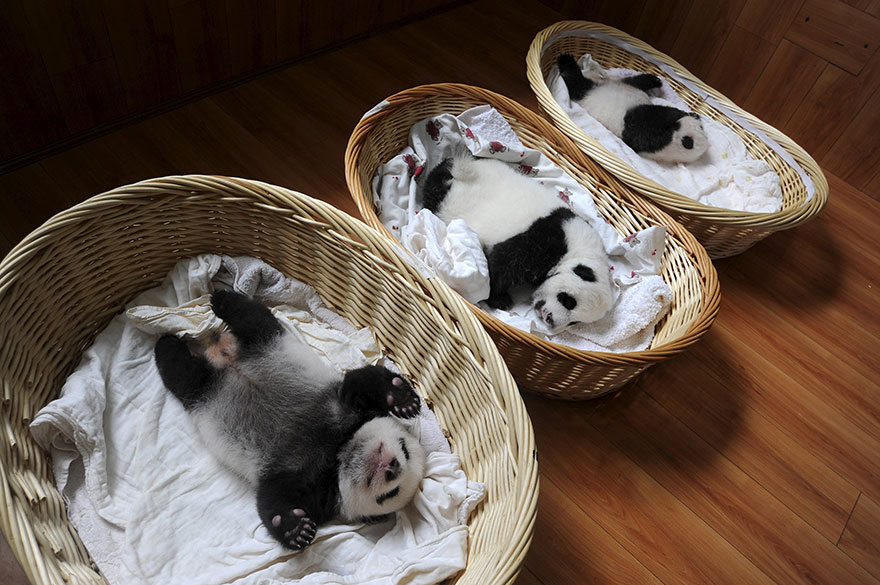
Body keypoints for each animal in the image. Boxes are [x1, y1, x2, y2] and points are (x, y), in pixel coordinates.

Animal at [153, 290, 426, 551]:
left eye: (390, 494)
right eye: (404, 447)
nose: (393, 466)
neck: (339, 450)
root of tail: (222, 356)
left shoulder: (313, 485)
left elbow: (273, 496)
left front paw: (295, 528)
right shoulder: (344, 408)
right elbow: (362, 382)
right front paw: (402, 397)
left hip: (205, 386)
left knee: (185, 374)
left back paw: (170, 343)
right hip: (267, 343)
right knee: (252, 317)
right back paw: (214, 305)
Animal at [421, 149, 613, 333]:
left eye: (574, 322)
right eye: (568, 300)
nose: (550, 319)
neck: (579, 251)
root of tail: (453, 167)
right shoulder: (546, 238)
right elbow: (505, 263)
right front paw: (498, 298)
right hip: (448, 199)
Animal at [557, 53, 708, 164]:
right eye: (701, 127)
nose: (696, 115)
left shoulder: (643, 130)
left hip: (589, 92)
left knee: (577, 83)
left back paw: (566, 59)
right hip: (619, 84)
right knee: (632, 81)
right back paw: (653, 80)